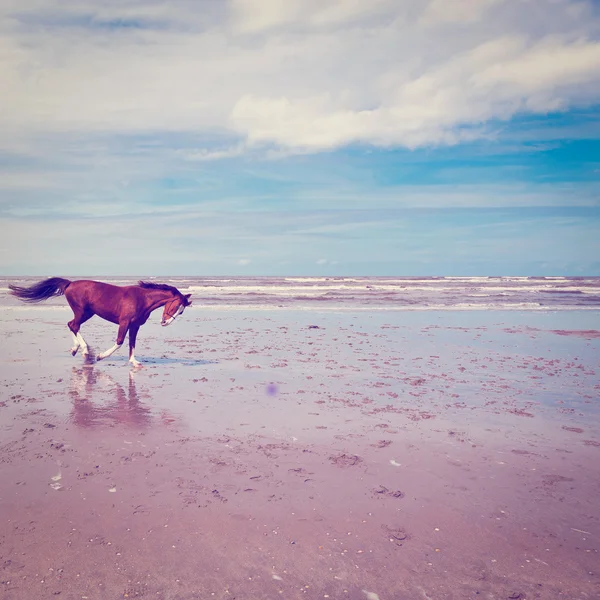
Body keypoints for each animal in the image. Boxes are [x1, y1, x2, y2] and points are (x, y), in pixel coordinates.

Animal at [9, 276, 192, 366]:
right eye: (176, 306)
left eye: (182, 311)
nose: (165, 323)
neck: (142, 299)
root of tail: (70, 283)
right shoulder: (124, 322)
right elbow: (119, 341)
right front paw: (101, 356)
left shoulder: (134, 326)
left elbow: (132, 343)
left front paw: (134, 362)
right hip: (81, 311)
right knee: (73, 325)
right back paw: (84, 350)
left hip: (88, 313)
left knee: (71, 325)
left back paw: (76, 349)